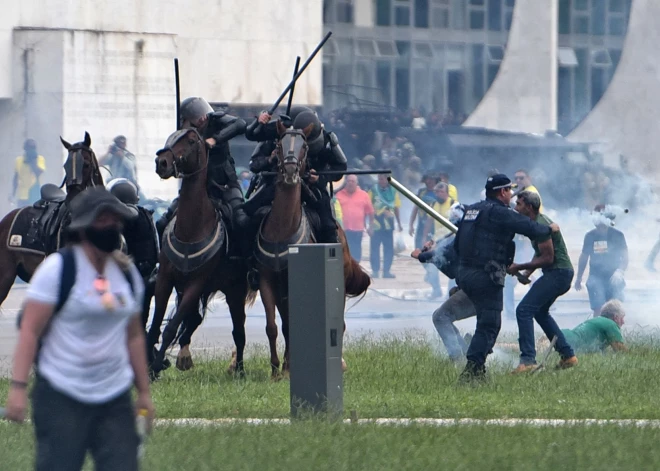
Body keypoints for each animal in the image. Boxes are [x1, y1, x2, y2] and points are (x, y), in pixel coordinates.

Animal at [150, 127, 255, 378]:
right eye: (171, 137)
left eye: (190, 141)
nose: (162, 162)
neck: (192, 228)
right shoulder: (166, 280)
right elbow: (157, 323)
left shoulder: (196, 284)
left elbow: (170, 327)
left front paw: (155, 367)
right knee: (195, 320)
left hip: (234, 290)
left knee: (238, 330)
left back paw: (239, 369)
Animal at [256, 121, 372, 380]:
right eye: (279, 144)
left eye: (304, 146)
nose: (290, 172)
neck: (282, 230)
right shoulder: (268, 281)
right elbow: (272, 326)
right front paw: (276, 370)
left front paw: (288, 368)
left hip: (338, 283)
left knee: (339, 323)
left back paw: (338, 362)